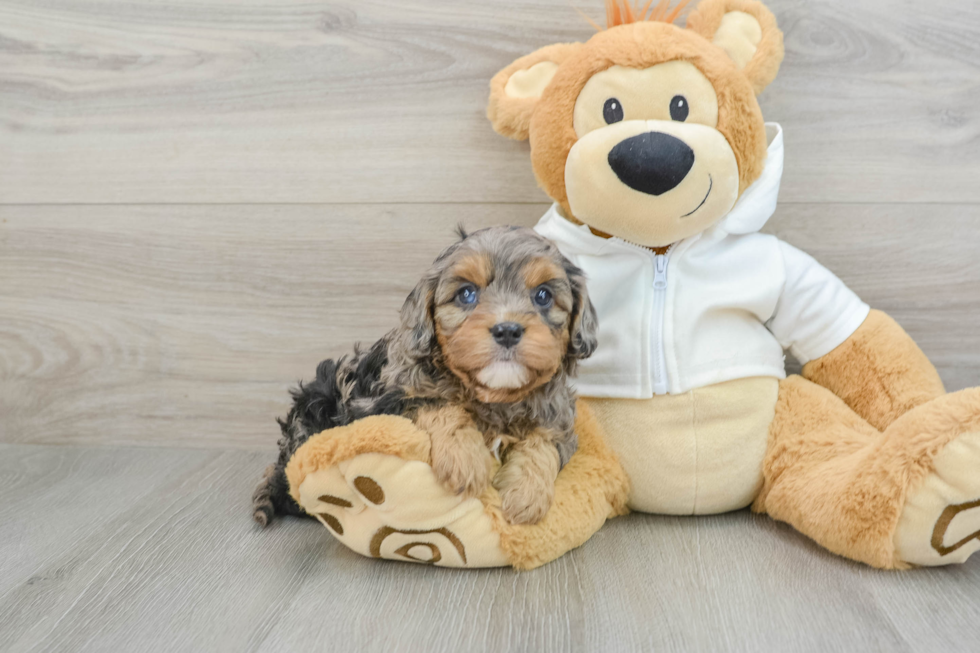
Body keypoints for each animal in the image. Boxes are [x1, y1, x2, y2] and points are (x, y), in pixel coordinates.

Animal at [253, 224, 596, 524]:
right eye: (467, 294)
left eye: (543, 296)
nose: (507, 330)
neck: (494, 396)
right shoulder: (388, 402)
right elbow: (438, 404)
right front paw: (464, 459)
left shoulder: (558, 418)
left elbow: (544, 443)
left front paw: (527, 494)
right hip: (318, 403)